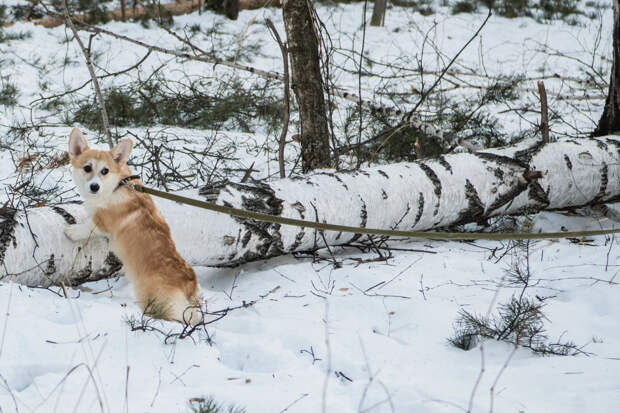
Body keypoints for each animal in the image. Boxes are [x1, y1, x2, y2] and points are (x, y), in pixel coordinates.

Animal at [63, 128, 200, 322]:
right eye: (87, 168)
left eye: (105, 170)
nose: (95, 187)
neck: (116, 186)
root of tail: (189, 287)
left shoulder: (102, 222)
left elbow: (87, 227)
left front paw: (71, 231)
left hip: (153, 300)